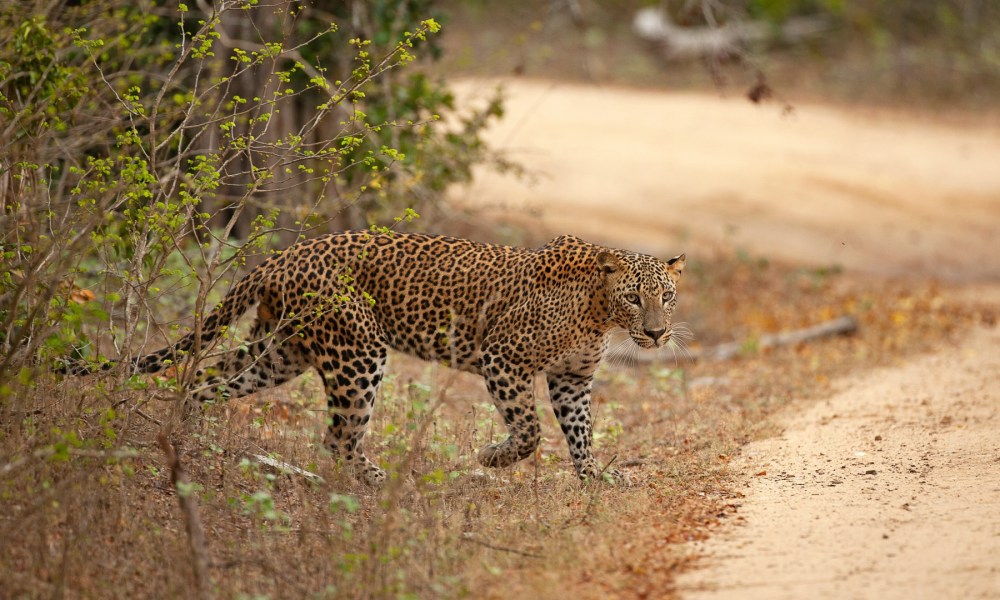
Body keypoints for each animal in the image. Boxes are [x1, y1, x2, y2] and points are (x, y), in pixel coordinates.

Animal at [64, 231, 688, 488]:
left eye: (667, 295)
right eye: (635, 297)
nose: (657, 334)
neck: (600, 312)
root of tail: (283, 256)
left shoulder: (571, 379)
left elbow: (581, 433)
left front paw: (594, 479)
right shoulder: (503, 359)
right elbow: (531, 432)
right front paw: (492, 458)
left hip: (279, 351)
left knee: (204, 382)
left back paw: (186, 440)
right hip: (358, 352)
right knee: (338, 437)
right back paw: (381, 482)